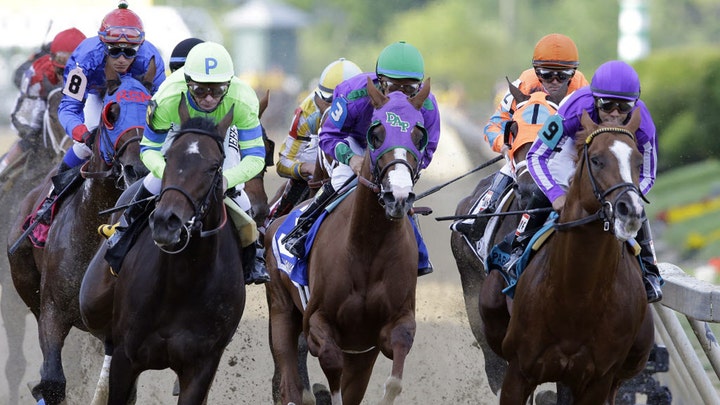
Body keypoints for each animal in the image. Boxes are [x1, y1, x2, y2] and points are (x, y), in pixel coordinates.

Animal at [97, 99, 246, 402]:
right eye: (168, 158)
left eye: (214, 167)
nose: (167, 221)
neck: (183, 281)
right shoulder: (125, 357)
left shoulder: (201, 367)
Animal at [266, 76, 430, 404]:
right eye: (376, 134)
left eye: (419, 135)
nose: (398, 196)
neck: (368, 247)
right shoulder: (317, 323)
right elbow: (330, 364)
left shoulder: (390, 327)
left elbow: (394, 378)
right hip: (281, 311)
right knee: (288, 380)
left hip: (361, 352)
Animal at [480, 110, 656, 404]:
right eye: (596, 159)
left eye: (638, 161)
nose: (630, 210)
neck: (577, 296)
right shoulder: (519, 370)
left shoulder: (598, 379)